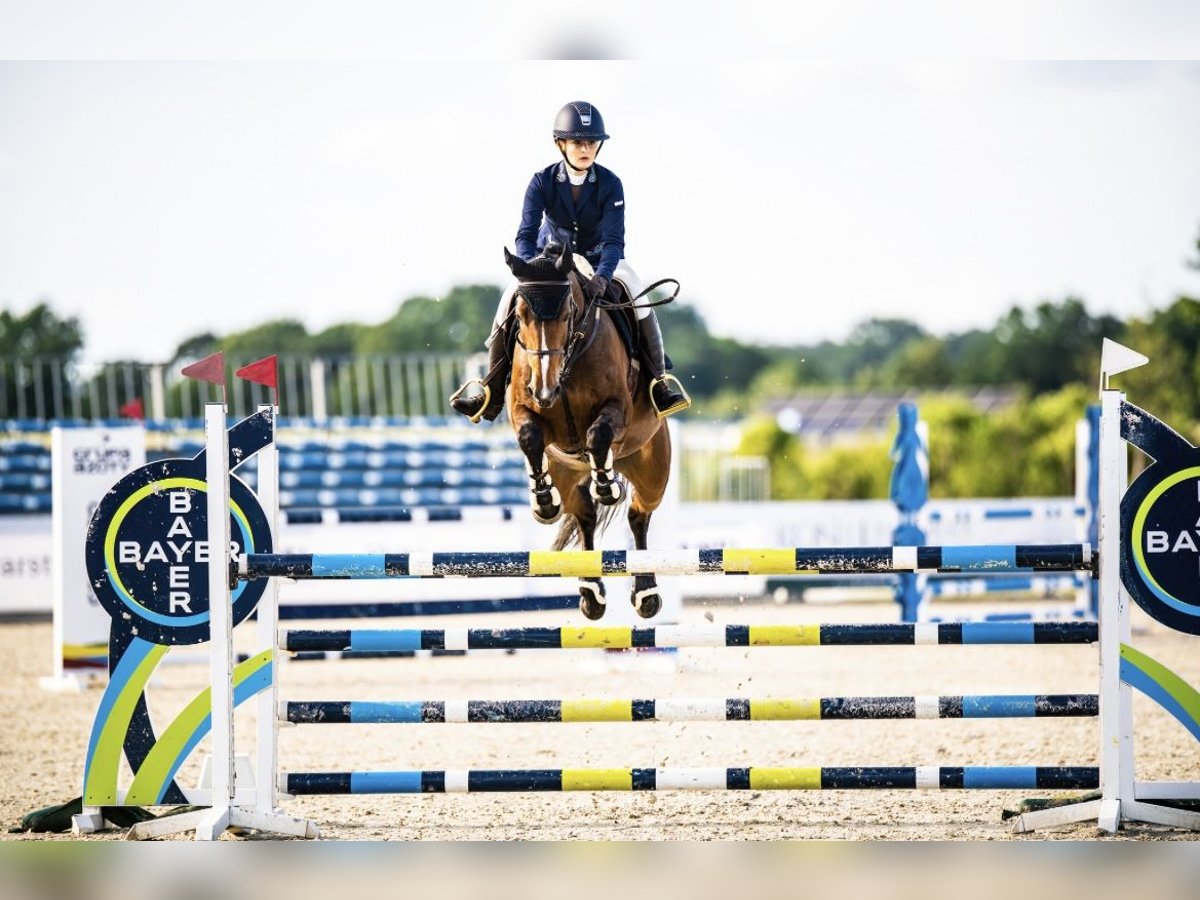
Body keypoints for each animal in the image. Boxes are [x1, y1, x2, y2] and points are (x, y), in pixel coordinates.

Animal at [499, 247, 676, 628]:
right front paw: (543, 502)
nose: (545, 390)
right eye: (519, 315)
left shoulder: (617, 409)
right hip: (566, 476)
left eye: (567, 314)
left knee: (638, 515)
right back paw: (591, 593)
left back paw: (645, 593)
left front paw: (606, 487)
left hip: (653, 470)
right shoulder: (521, 408)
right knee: (585, 516)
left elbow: (598, 435)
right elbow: (529, 437)